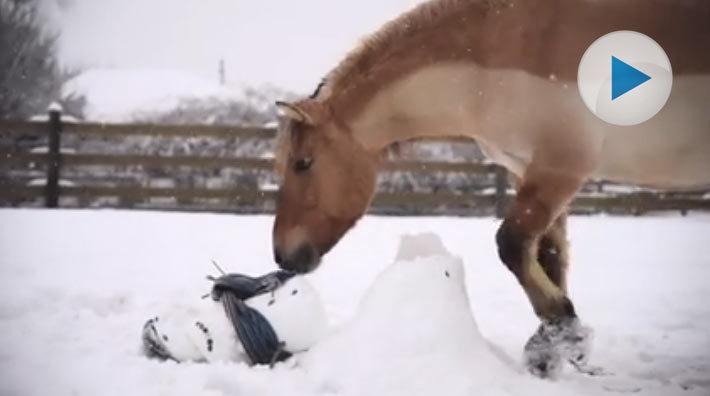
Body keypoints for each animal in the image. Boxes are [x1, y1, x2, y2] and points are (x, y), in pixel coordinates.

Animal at [270, 0, 708, 378]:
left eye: (303, 163)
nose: (283, 256)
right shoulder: (527, 170)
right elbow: (546, 256)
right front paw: (550, 347)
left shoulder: (561, 167)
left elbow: (511, 243)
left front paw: (566, 334)